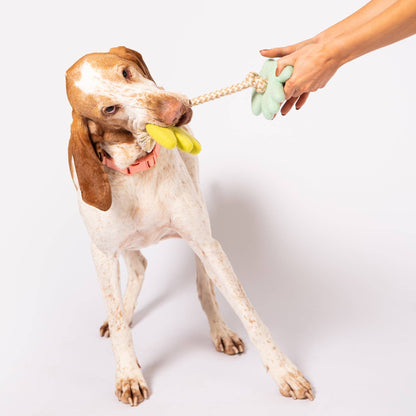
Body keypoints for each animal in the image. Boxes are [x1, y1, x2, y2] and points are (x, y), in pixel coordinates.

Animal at [65, 46, 314, 406]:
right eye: (109, 109)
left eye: (125, 72)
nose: (175, 109)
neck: (139, 170)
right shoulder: (103, 254)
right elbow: (118, 320)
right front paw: (128, 374)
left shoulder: (205, 242)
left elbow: (248, 312)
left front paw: (284, 371)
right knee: (138, 267)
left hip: (201, 228)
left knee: (201, 284)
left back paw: (219, 330)